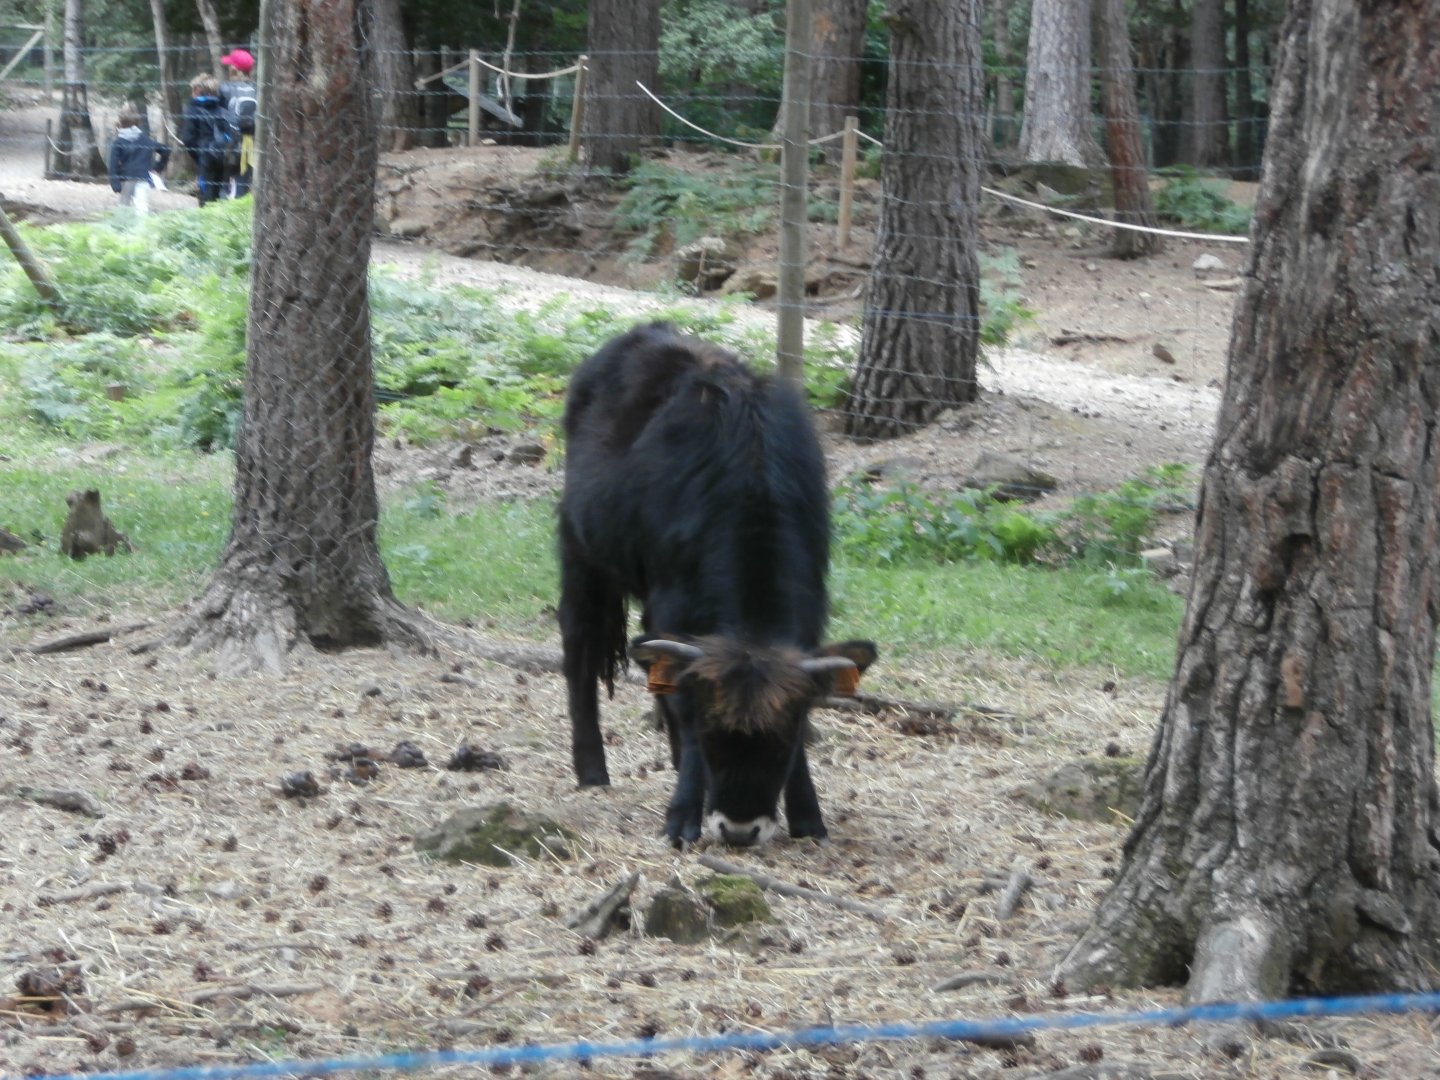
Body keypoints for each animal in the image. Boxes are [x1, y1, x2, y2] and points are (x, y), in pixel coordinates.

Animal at [557, 322, 877, 847]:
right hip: (581, 555)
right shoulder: (673, 607)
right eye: (712, 736)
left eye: (781, 743)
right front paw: (683, 814)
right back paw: (592, 770)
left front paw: (808, 815)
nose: (740, 830)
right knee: (580, 650)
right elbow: (680, 705)